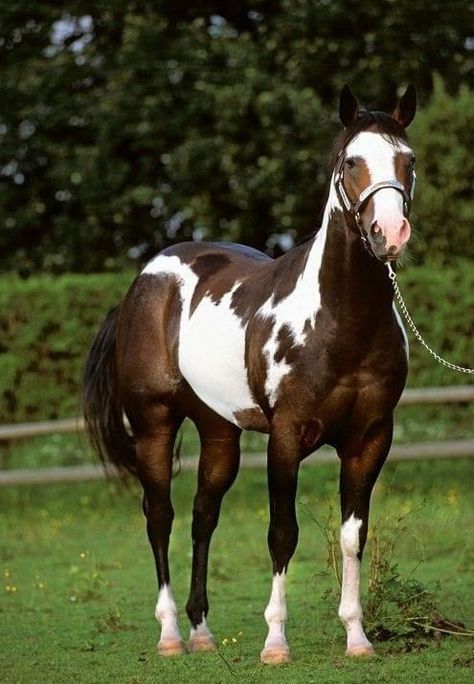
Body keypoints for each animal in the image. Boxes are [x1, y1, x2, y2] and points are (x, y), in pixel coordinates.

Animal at [83, 84, 416, 664]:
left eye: (409, 160)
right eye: (351, 161)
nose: (390, 233)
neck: (341, 321)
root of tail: (143, 281)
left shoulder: (371, 438)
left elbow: (353, 537)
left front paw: (357, 638)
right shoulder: (285, 435)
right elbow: (282, 532)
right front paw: (276, 643)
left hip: (219, 431)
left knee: (202, 516)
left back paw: (201, 631)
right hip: (153, 424)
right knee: (159, 515)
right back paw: (170, 634)